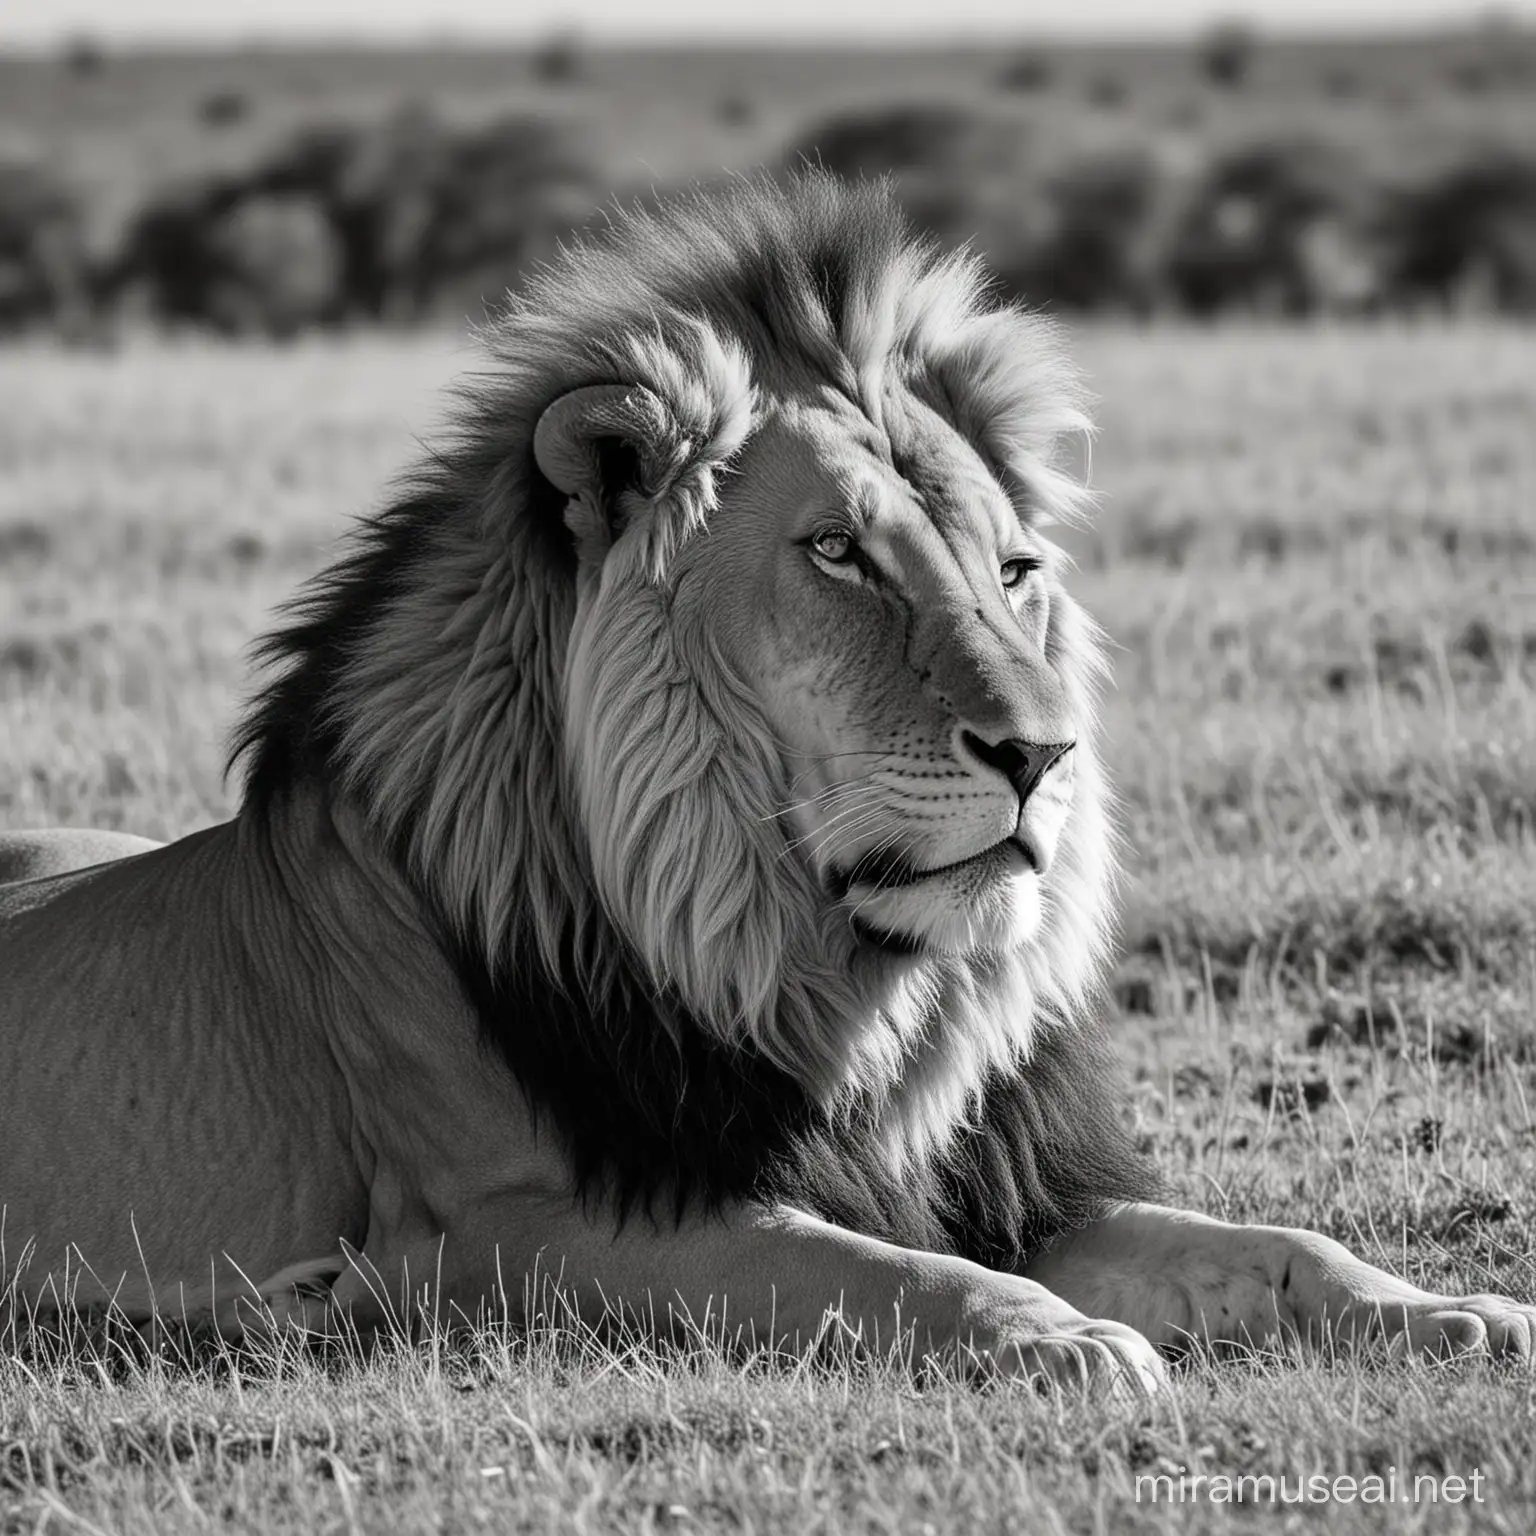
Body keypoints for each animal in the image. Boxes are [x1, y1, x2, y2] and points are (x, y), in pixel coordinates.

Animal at [3, 174, 1536, 1388]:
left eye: (1014, 571)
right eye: (840, 556)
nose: (1041, 755)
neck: (825, 981)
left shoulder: (1003, 1183)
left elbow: (1276, 1241)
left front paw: (1455, 1312)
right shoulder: (485, 1230)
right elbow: (848, 1265)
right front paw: (1056, 1338)